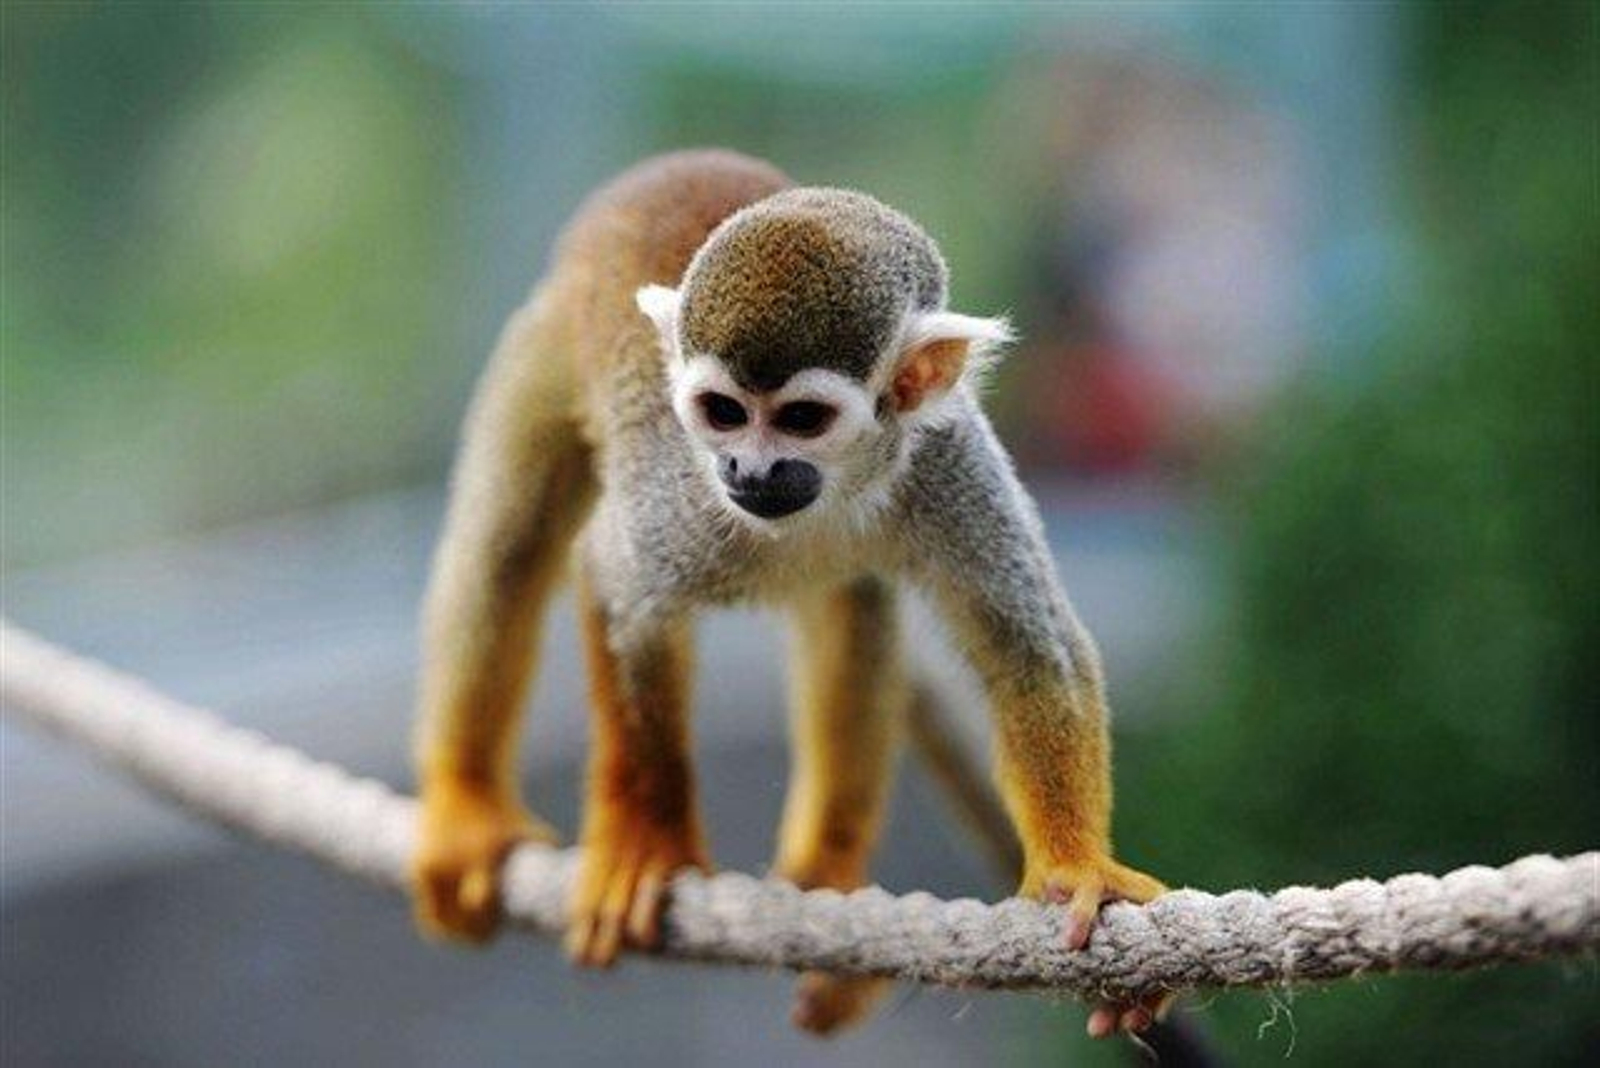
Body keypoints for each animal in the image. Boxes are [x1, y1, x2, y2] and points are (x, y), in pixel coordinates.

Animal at [412, 149, 1168, 1039]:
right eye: (722, 413)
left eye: (803, 418)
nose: (748, 469)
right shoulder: (682, 490)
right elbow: (616, 584)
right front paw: (644, 841)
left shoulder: (945, 454)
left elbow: (1024, 643)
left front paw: (1075, 870)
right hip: (544, 343)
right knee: (510, 546)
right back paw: (466, 802)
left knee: (853, 602)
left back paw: (827, 870)